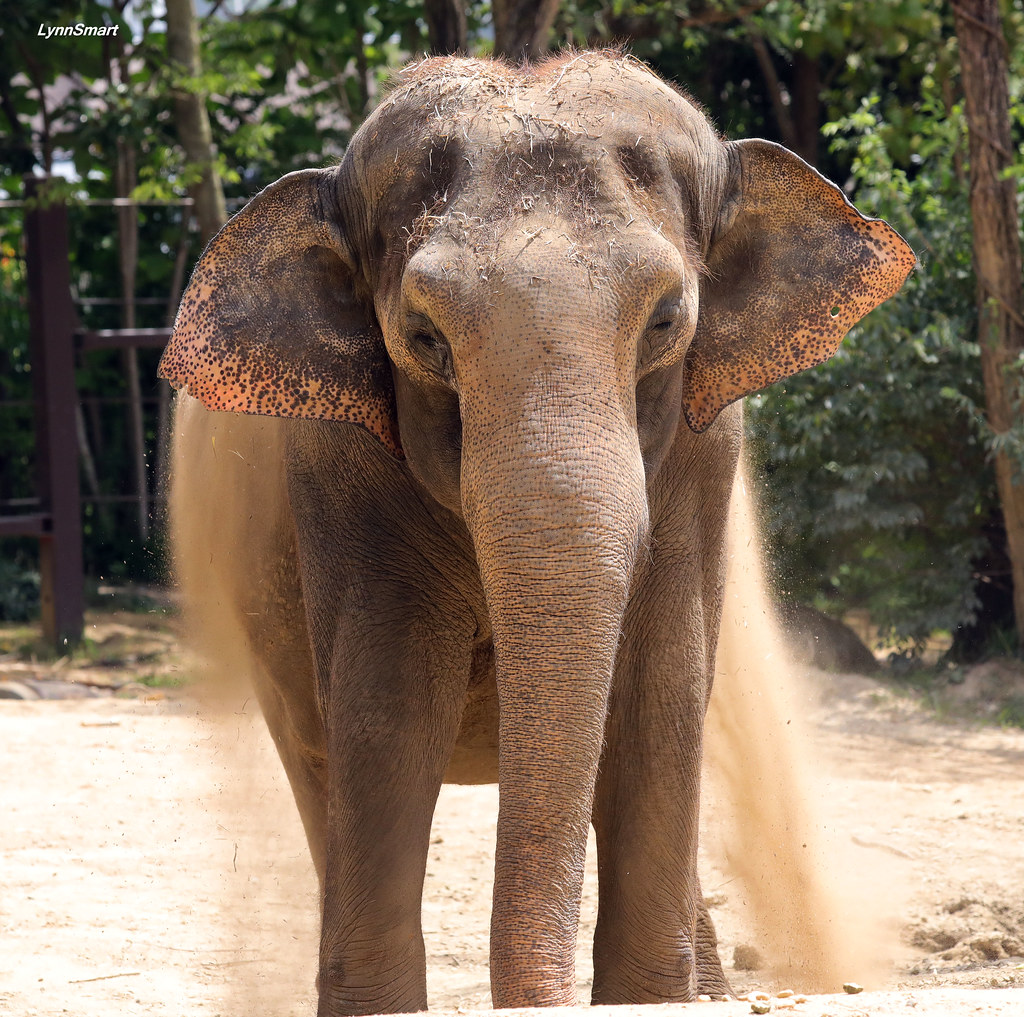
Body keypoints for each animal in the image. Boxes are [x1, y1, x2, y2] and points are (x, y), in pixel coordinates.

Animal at [161, 50, 913, 1016]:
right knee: (318, 756)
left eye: (666, 321)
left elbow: (660, 690)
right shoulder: (337, 465)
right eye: (423, 336)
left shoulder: (707, 455)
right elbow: (387, 703)